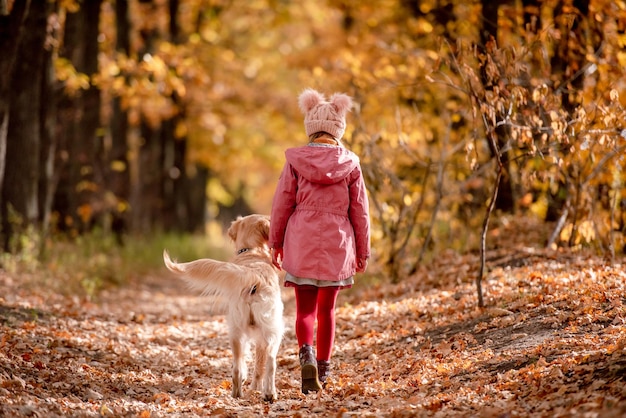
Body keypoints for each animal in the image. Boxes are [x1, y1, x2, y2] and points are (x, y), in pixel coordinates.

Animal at [163, 216, 286, 402]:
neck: (251, 251)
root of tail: (253, 276)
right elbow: (259, 366)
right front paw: (256, 388)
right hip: (271, 329)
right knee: (269, 361)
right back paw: (267, 393)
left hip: (237, 332)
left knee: (239, 367)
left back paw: (239, 393)